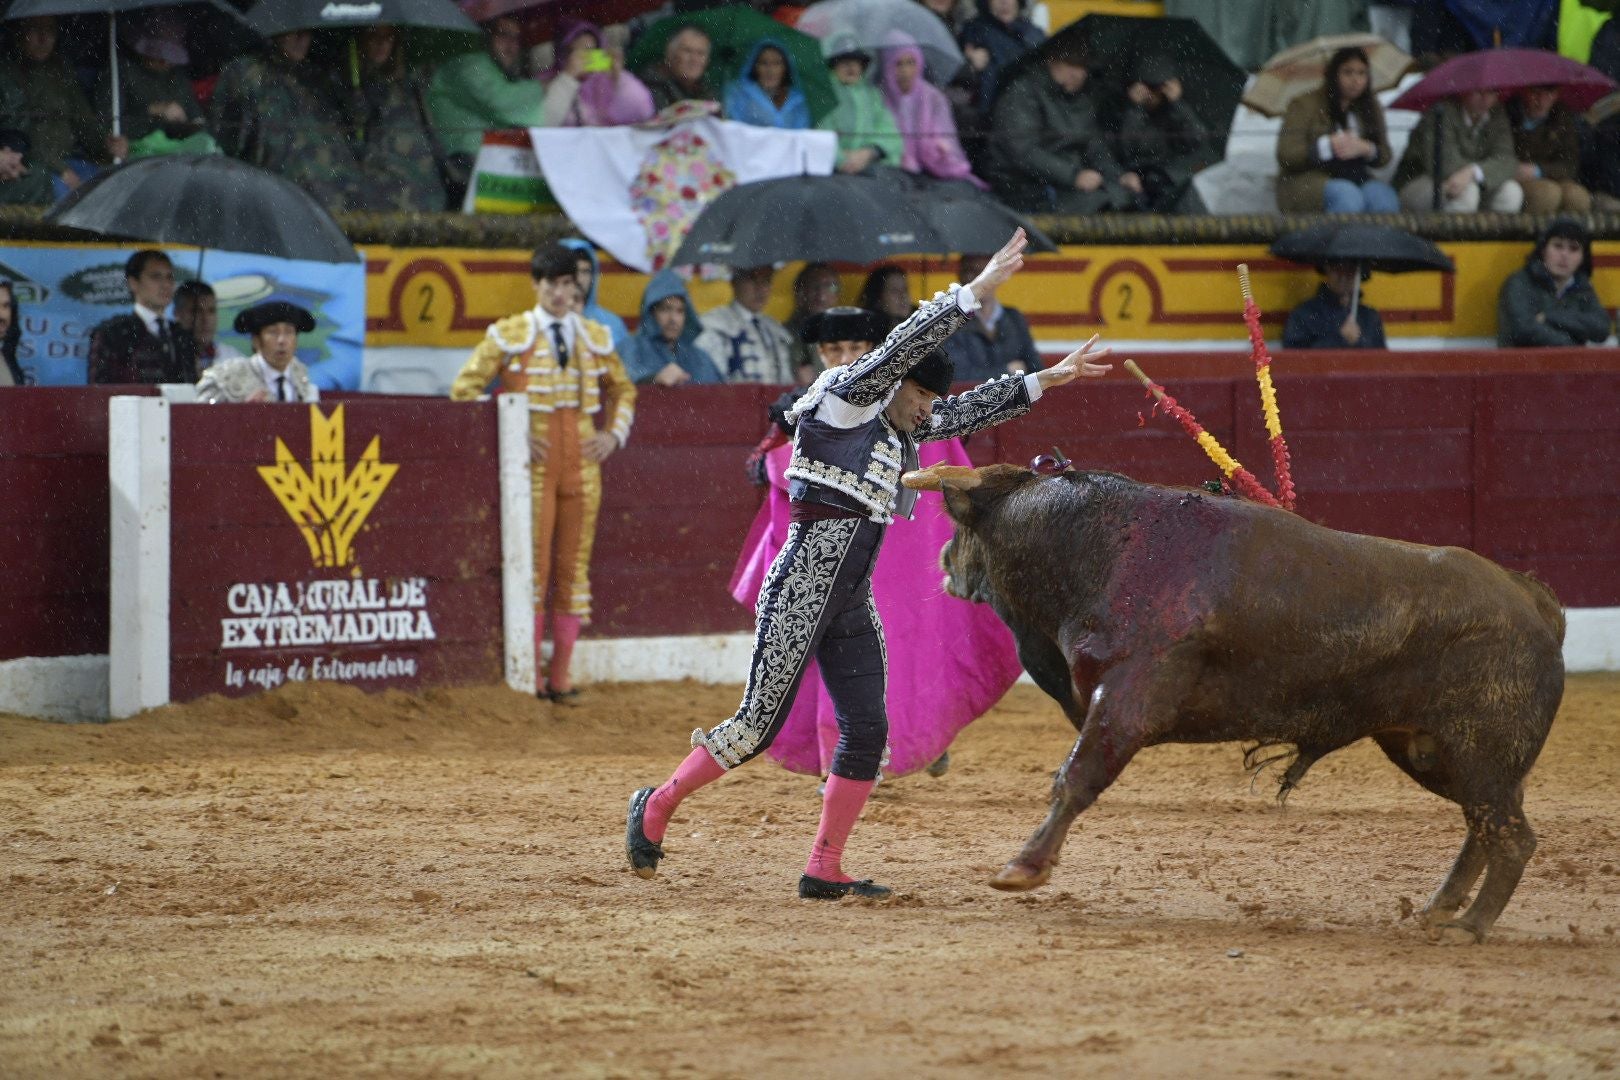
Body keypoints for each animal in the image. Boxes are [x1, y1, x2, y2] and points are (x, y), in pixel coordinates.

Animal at [907, 459, 1561, 939]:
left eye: (961, 523)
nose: (940, 560)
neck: (1098, 545)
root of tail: (1533, 600)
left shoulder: (1128, 698)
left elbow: (1076, 778)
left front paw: (1022, 868)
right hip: (1434, 752)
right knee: (1488, 826)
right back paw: (1438, 910)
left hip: (1478, 751)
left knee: (1511, 835)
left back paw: (1468, 927)